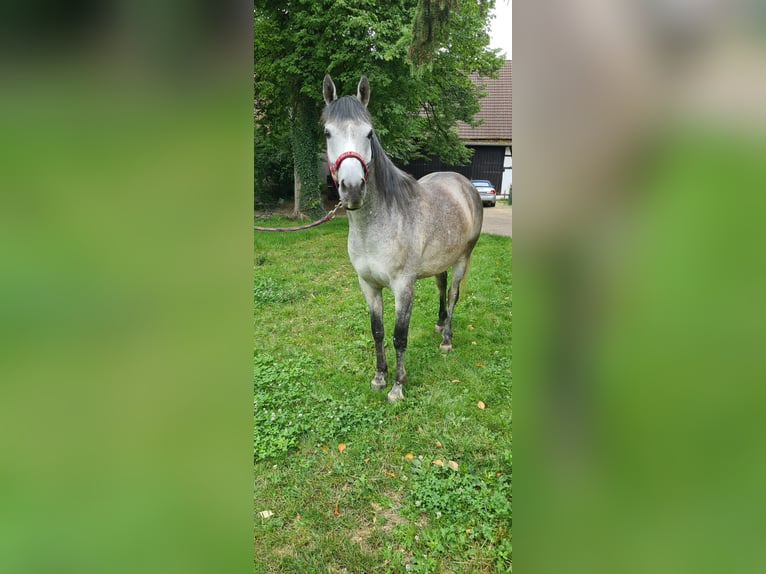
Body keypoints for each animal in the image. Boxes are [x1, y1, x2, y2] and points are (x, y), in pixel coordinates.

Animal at [322, 74, 480, 402]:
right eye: (328, 133)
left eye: (369, 133)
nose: (352, 188)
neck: (378, 225)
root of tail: (465, 185)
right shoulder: (368, 285)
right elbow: (378, 331)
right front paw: (379, 377)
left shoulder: (403, 287)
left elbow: (399, 336)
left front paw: (397, 386)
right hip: (439, 262)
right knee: (441, 287)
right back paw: (439, 323)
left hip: (463, 258)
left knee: (453, 294)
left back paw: (447, 339)